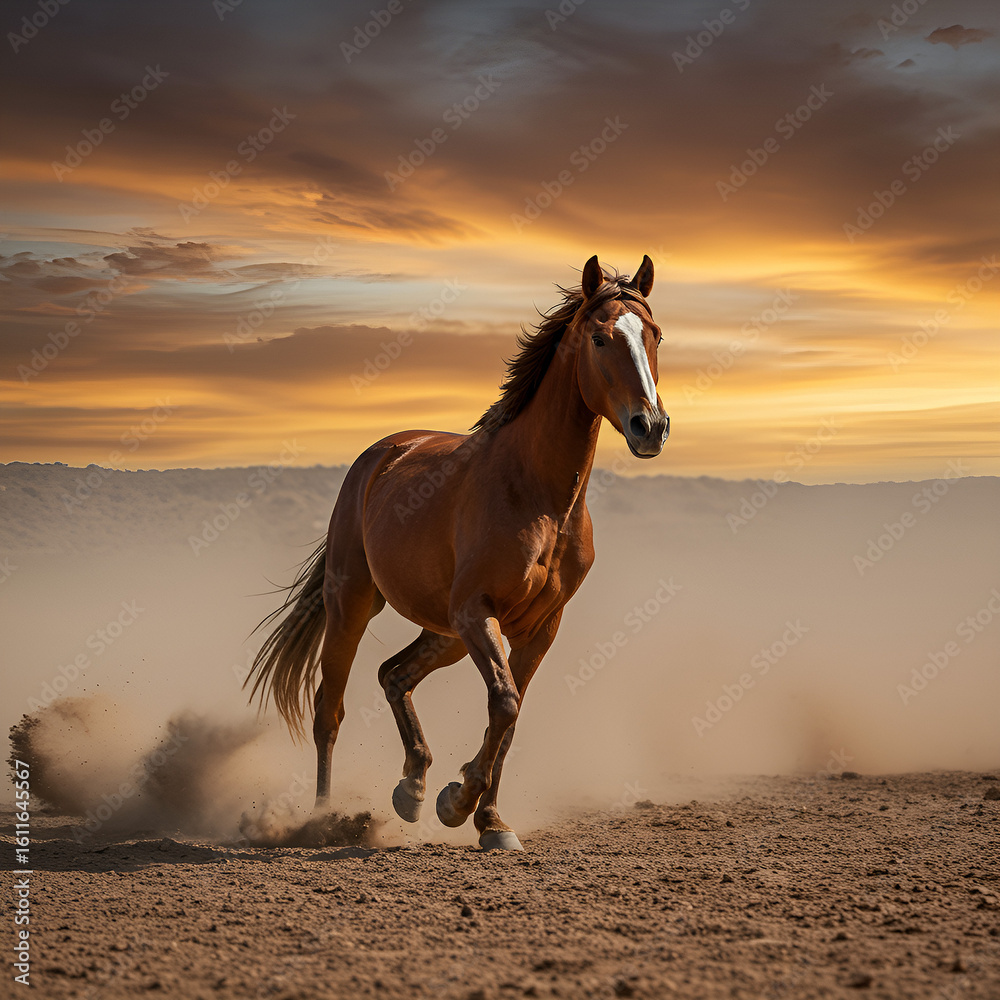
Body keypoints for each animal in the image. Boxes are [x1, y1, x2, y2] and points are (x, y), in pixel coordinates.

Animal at [246, 254, 669, 850]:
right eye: (600, 337)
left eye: (655, 336)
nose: (649, 426)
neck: (537, 495)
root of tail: (381, 455)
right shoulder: (477, 612)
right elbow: (504, 701)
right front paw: (459, 801)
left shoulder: (540, 627)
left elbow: (510, 715)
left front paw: (488, 820)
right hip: (354, 605)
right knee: (329, 709)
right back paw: (325, 820)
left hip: (442, 632)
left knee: (393, 675)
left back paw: (412, 787)